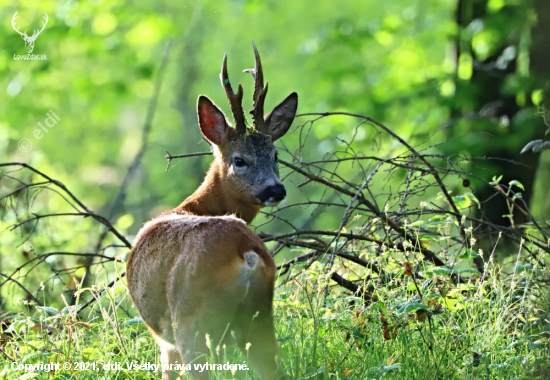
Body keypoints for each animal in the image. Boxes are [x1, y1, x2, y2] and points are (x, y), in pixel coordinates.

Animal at [126, 42, 298, 380]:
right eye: (239, 160)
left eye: (274, 156)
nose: (275, 189)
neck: (191, 206)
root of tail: (246, 254)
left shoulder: (165, 342)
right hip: (260, 319)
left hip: (192, 322)